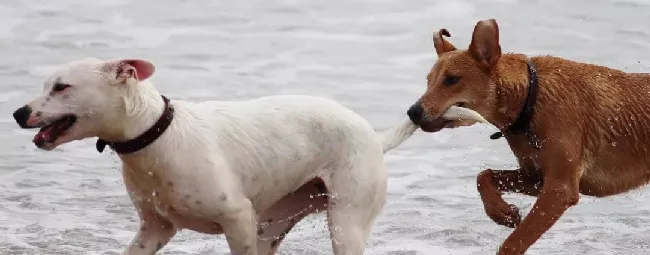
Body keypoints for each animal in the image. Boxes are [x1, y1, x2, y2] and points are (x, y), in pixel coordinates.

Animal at [12, 57, 484, 255]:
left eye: (61, 87)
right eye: (47, 85)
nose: (17, 113)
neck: (157, 136)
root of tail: (371, 134)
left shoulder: (236, 218)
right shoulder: (154, 230)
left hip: (345, 223)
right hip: (271, 225)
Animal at [408, 18, 648, 254]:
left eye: (451, 79)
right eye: (428, 80)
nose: (413, 112)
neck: (529, 99)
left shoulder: (560, 189)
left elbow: (514, 242)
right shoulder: (535, 178)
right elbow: (483, 176)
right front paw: (502, 212)